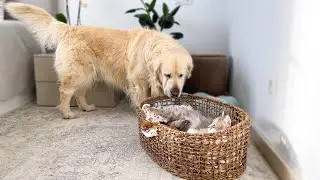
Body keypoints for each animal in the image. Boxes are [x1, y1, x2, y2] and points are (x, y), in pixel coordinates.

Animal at [6, 2, 194, 119]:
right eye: (167, 75)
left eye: (181, 75)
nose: (176, 93)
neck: (153, 49)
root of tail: (70, 28)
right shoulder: (138, 82)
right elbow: (143, 100)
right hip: (78, 73)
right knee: (66, 91)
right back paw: (67, 113)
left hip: (89, 75)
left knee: (79, 93)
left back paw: (86, 107)